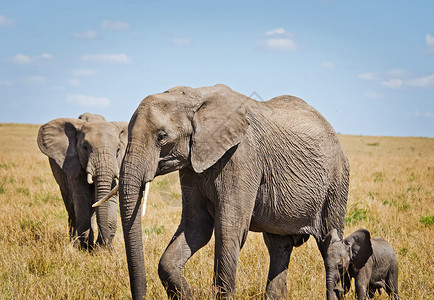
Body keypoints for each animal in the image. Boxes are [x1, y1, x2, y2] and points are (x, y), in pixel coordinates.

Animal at [37, 112, 127, 248]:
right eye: (85, 147)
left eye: (118, 150)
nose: (107, 247)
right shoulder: (74, 164)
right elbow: (81, 200)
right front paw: (84, 248)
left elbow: (109, 198)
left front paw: (102, 249)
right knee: (71, 208)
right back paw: (75, 242)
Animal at [116, 84, 350, 298]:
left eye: (161, 136)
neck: (194, 97)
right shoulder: (191, 165)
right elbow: (196, 226)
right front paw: (189, 294)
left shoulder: (241, 156)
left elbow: (228, 229)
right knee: (278, 246)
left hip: (336, 182)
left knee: (328, 244)